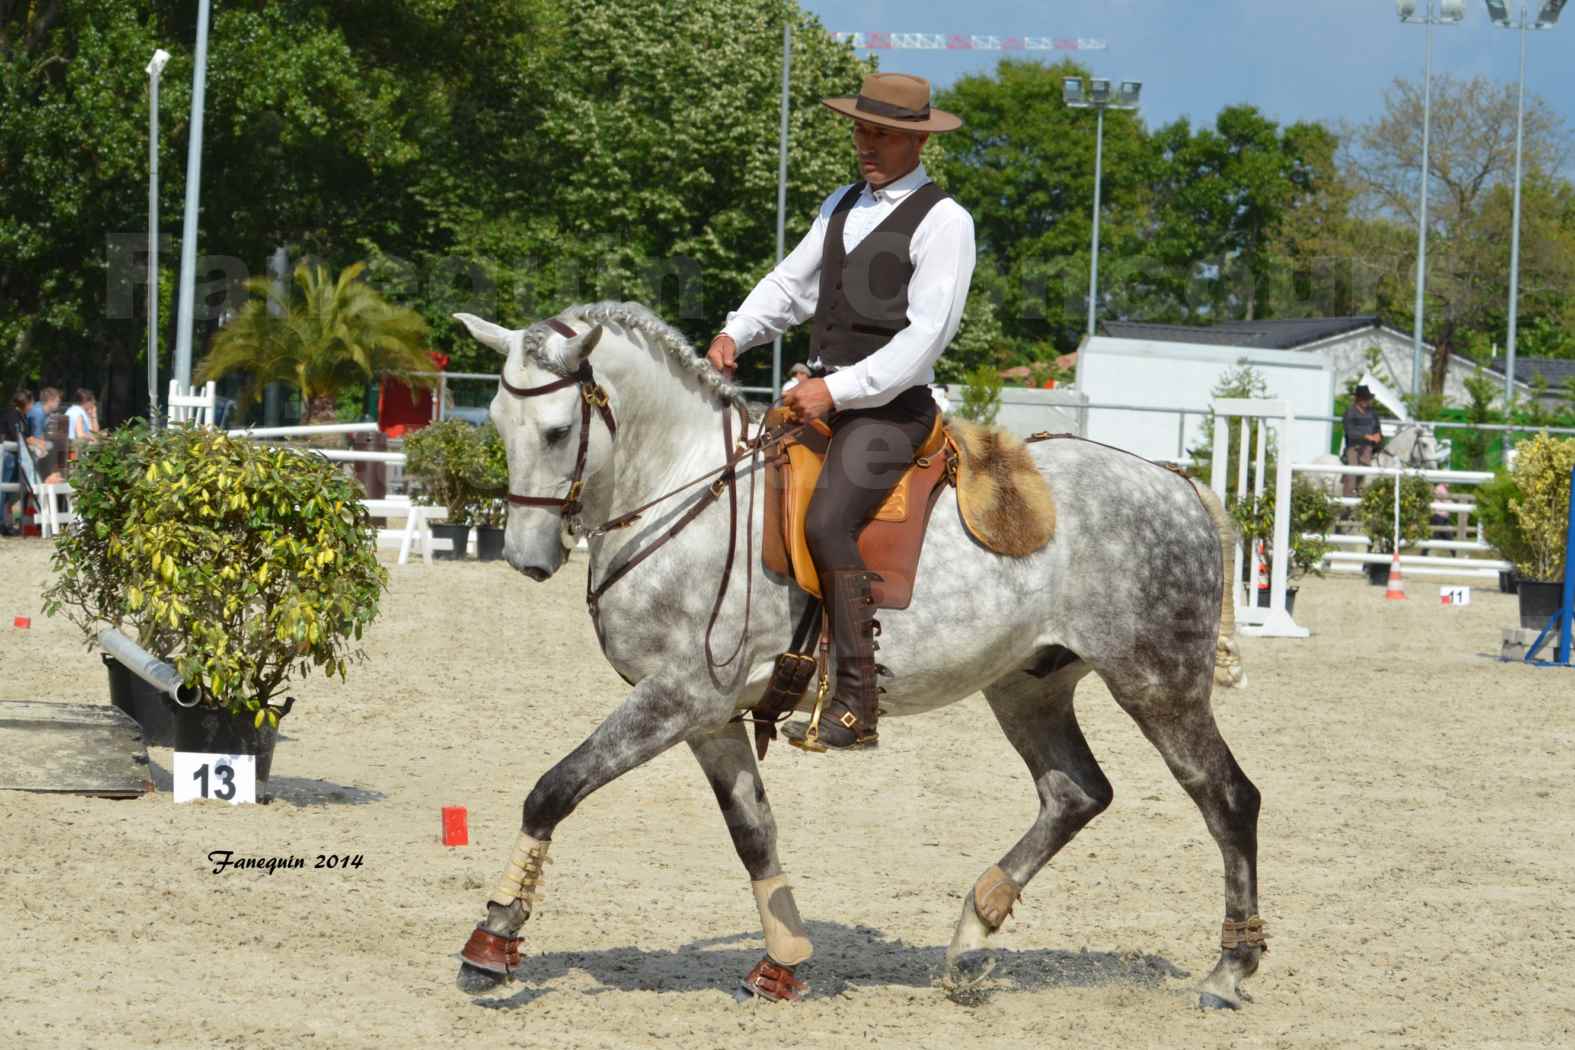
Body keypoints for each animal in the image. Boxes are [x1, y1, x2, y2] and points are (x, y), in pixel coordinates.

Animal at [450, 302, 1260, 1007]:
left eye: (558, 431)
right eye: (500, 424)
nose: (526, 558)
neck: (685, 495)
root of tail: (1174, 482)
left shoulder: (678, 696)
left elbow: (554, 790)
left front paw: (492, 942)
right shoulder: (709, 716)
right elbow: (753, 831)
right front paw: (781, 962)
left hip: (1156, 683)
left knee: (1226, 797)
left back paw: (1229, 970)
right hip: (1028, 686)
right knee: (1075, 794)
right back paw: (971, 937)